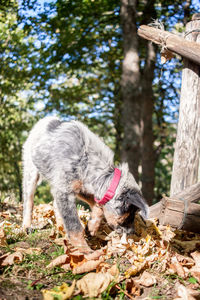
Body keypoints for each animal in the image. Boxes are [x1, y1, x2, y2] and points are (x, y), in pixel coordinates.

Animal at [22, 116, 148, 252]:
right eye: (130, 214)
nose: (132, 233)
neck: (87, 159)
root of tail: (47, 119)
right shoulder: (66, 190)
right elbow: (74, 226)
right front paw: (85, 251)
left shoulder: (81, 187)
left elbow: (97, 207)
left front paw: (91, 227)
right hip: (31, 171)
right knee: (29, 201)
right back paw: (26, 226)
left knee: (55, 204)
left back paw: (61, 228)